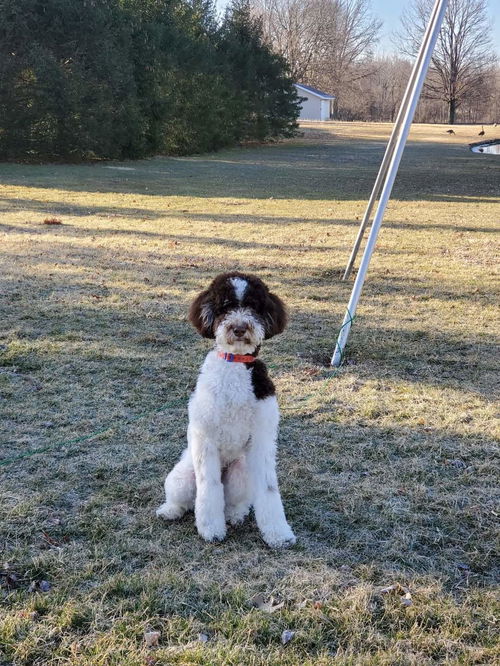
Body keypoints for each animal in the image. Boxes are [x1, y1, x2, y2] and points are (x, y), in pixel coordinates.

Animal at [156, 270, 296, 544]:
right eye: (225, 307)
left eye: (253, 306)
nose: (239, 328)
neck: (235, 365)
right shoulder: (205, 438)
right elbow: (209, 488)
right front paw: (211, 529)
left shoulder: (262, 439)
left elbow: (269, 488)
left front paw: (278, 533)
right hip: (181, 477)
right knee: (184, 499)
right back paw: (170, 510)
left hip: (242, 472)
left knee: (235, 502)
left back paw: (235, 515)